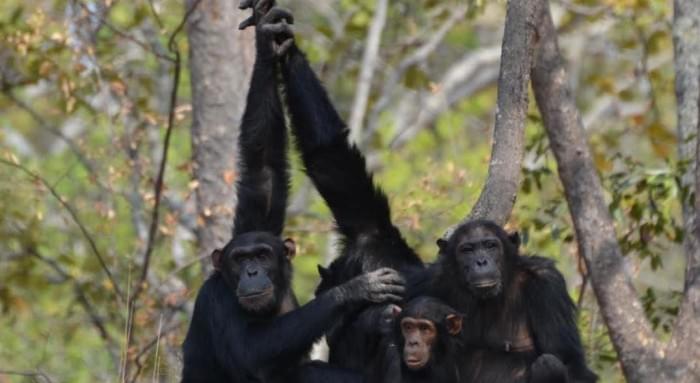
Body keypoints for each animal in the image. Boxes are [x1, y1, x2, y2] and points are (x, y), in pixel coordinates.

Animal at [180, 3, 404, 383]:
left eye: (261, 255)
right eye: (240, 260)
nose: (251, 272)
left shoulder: (260, 219)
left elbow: (264, 170)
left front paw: (268, 38)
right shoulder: (218, 302)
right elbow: (252, 351)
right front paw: (355, 290)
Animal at [430, 219, 600, 383]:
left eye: (490, 246)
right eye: (467, 250)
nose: (481, 261)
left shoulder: (549, 284)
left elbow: (571, 362)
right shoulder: (432, 279)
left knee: (549, 364)